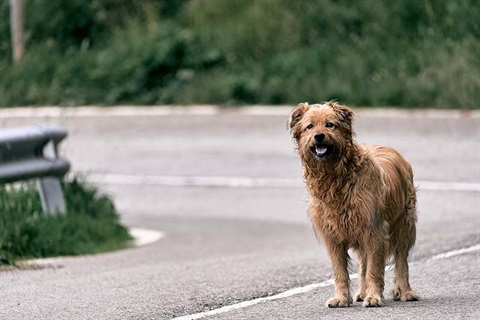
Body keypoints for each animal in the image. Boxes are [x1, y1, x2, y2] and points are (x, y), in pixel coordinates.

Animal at [288, 101, 420, 306]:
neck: (335, 178)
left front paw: (374, 297)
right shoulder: (334, 235)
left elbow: (374, 269)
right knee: (363, 262)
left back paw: (405, 291)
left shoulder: (374, 229)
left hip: (403, 225)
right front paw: (342, 298)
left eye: (330, 124)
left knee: (401, 260)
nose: (319, 136)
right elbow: (340, 271)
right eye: (309, 126)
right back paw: (362, 292)